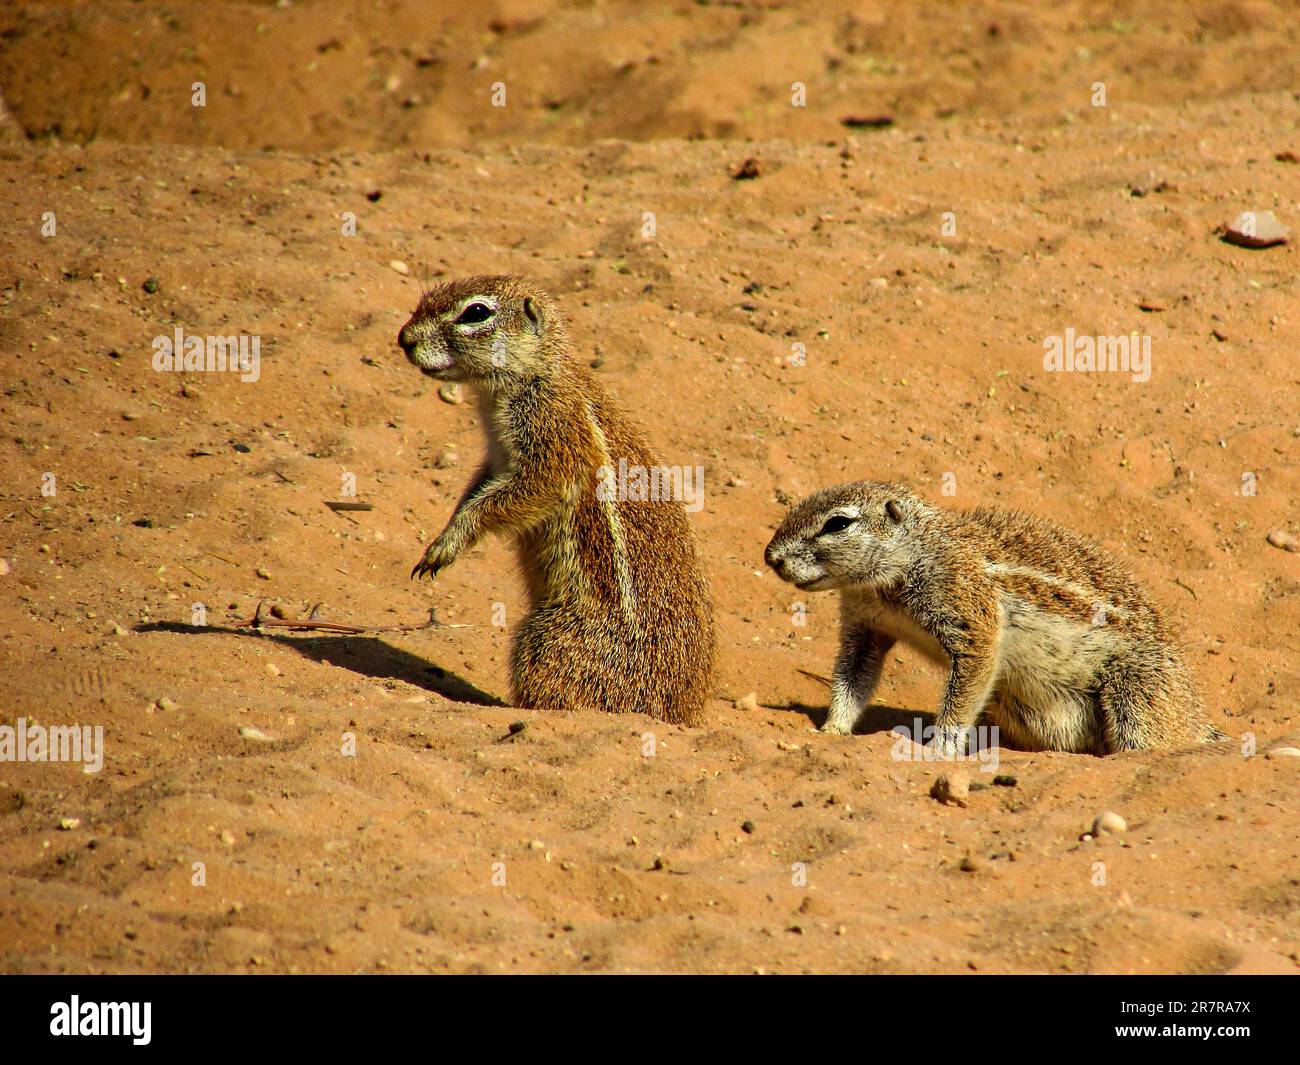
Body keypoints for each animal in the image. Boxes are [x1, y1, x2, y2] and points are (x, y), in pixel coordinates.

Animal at [397, 274, 717, 728]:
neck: (540, 372)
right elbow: (475, 492)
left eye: (476, 312)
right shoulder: (494, 460)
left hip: (544, 640)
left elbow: (516, 496)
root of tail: (679, 714)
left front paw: (448, 543)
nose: (404, 339)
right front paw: (440, 539)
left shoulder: (552, 447)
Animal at [759, 478, 1216, 754]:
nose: (770, 557)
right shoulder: (866, 626)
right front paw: (831, 730)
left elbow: (966, 685)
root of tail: (1196, 716)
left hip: (1138, 691)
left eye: (838, 523)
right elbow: (853, 677)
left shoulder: (968, 611)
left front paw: (939, 748)